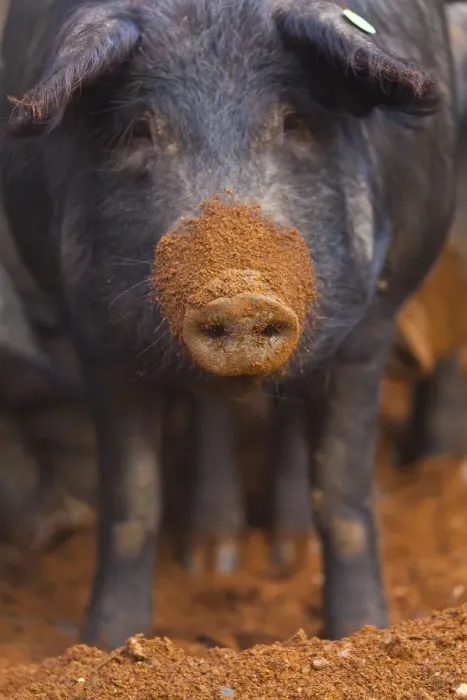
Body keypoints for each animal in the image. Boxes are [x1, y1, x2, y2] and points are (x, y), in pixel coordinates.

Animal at [0, 0, 457, 649]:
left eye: (294, 122)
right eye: (141, 130)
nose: (239, 296)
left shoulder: (371, 330)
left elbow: (343, 496)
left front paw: (362, 633)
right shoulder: (96, 338)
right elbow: (132, 503)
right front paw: (104, 647)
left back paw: (290, 553)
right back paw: (215, 562)